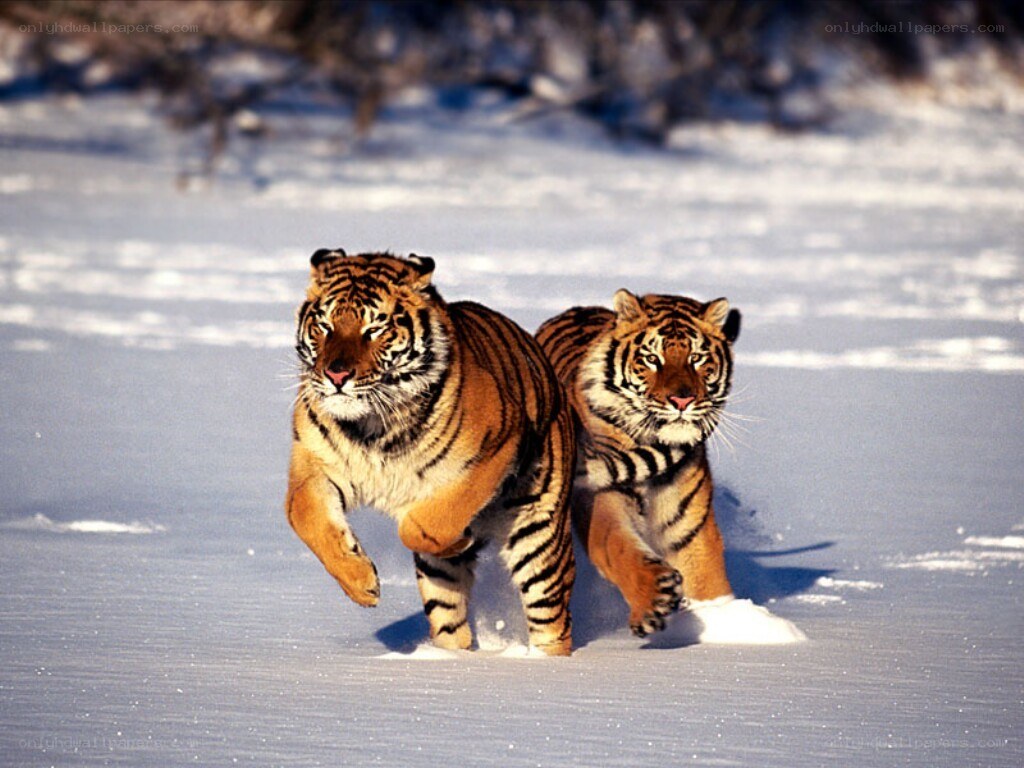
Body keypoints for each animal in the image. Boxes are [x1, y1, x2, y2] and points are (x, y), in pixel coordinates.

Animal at [286, 249, 576, 655]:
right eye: (324, 326)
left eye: (374, 329)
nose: (336, 375)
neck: (371, 426)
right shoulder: (315, 465)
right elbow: (304, 517)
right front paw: (362, 584)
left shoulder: (494, 448)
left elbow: (424, 525)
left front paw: (459, 537)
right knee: (450, 620)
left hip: (539, 537)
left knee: (552, 621)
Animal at [536, 289, 741, 637]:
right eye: (651, 359)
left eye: (697, 358)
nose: (682, 400)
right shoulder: (601, 498)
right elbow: (620, 548)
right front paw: (654, 599)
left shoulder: (690, 528)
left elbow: (707, 578)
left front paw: (730, 621)